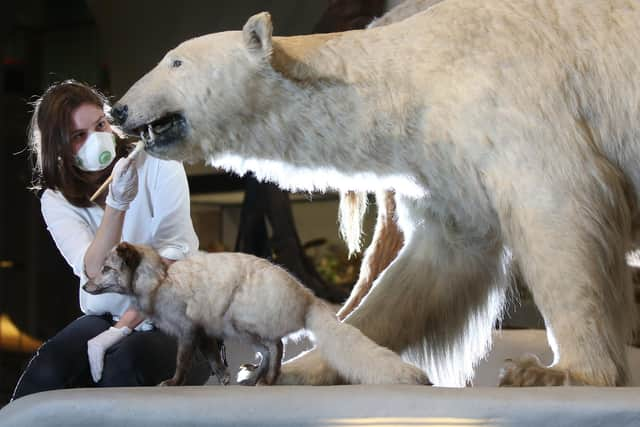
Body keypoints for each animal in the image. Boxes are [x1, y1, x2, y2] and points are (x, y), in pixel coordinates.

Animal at [82, 242, 428, 386]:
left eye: (106, 269)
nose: (85, 285)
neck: (160, 280)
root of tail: (307, 296)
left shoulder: (187, 330)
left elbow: (182, 362)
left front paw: (174, 383)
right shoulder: (204, 332)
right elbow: (213, 359)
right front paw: (223, 377)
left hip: (239, 323)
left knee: (276, 347)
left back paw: (266, 380)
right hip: (237, 329)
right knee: (270, 351)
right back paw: (259, 378)